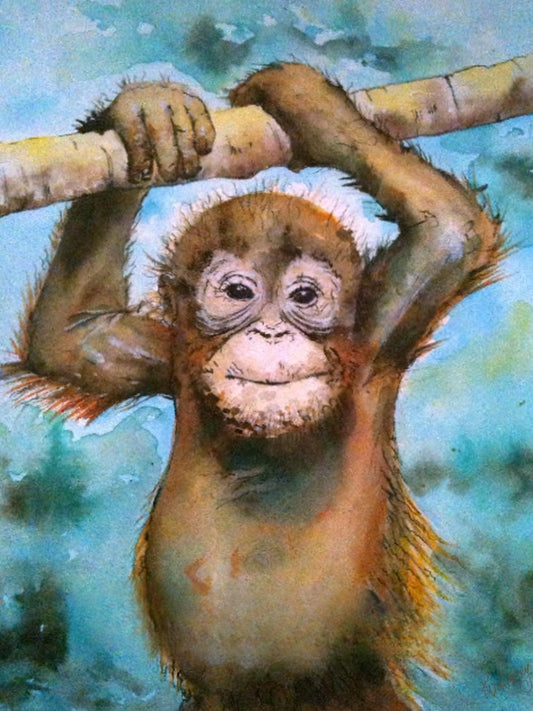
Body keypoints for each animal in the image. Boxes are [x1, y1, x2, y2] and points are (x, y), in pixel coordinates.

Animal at [5, 65, 505, 710]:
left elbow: (448, 231)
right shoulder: (159, 355)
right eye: (239, 293)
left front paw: (293, 89)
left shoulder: (378, 335)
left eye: (304, 297)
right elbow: (71, 335)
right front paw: (145, 111)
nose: (270, 332)